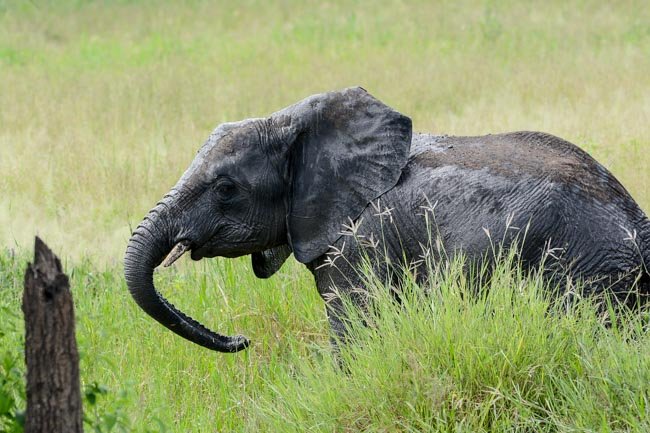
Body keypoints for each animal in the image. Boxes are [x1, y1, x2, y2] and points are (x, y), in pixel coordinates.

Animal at [123, 87, 648, 352]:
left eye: (226, 189)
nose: (243, 339)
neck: (293, 123)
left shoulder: (357, 242)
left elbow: (353, 328)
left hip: (583, 266)